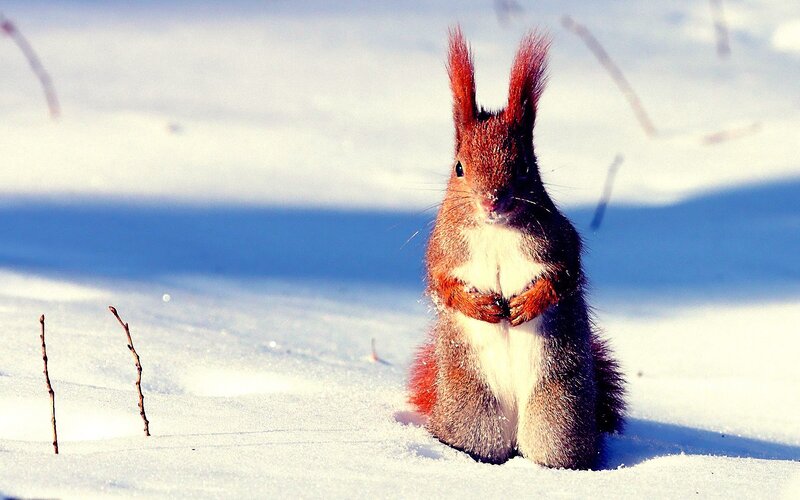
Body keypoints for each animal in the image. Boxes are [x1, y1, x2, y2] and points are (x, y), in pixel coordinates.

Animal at [408, 28, 625, 470]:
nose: (492, 200)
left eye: (525, 166)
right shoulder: (442, 251)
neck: (495, 230)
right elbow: (441, 285)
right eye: (459, 167)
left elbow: (564, 277)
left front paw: (527, 304)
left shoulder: (560, 242)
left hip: (557, 412)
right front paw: (483, 307)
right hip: (474, 410)